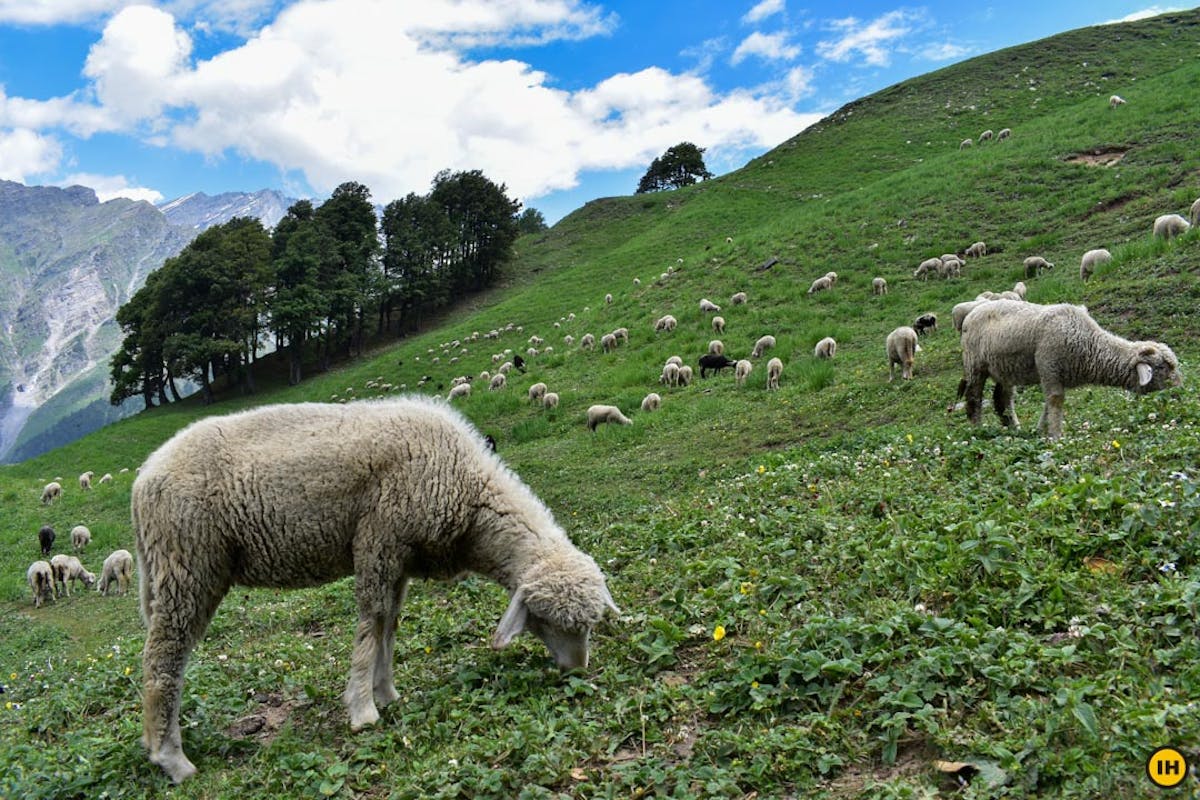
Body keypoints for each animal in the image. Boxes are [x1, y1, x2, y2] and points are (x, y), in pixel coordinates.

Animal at [132, 400, 619, 782]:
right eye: (548, 619)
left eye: (589, 624)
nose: (578, 671)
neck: (467, 498)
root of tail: (142, 479)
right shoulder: (378, 538)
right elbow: (370, 624)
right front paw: (363, 710)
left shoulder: (398, 557)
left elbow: (389, 623)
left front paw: (387, 692)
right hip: (186, 564)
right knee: (162, 660)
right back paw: (171, 759)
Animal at [955, 298, 1180, 438]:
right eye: (1163, 367)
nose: (1180, 390)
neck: (1089, 344)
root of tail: (972, 312)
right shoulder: (1049, 366)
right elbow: (1055, 400)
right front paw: (1056, 435)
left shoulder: (1054, 374)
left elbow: (1047, 403)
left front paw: (1041, 430)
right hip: (975, 364)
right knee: (974, 397)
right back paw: (978, 429)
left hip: (1004, 368)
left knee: (1003, 399)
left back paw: (1014, 428)